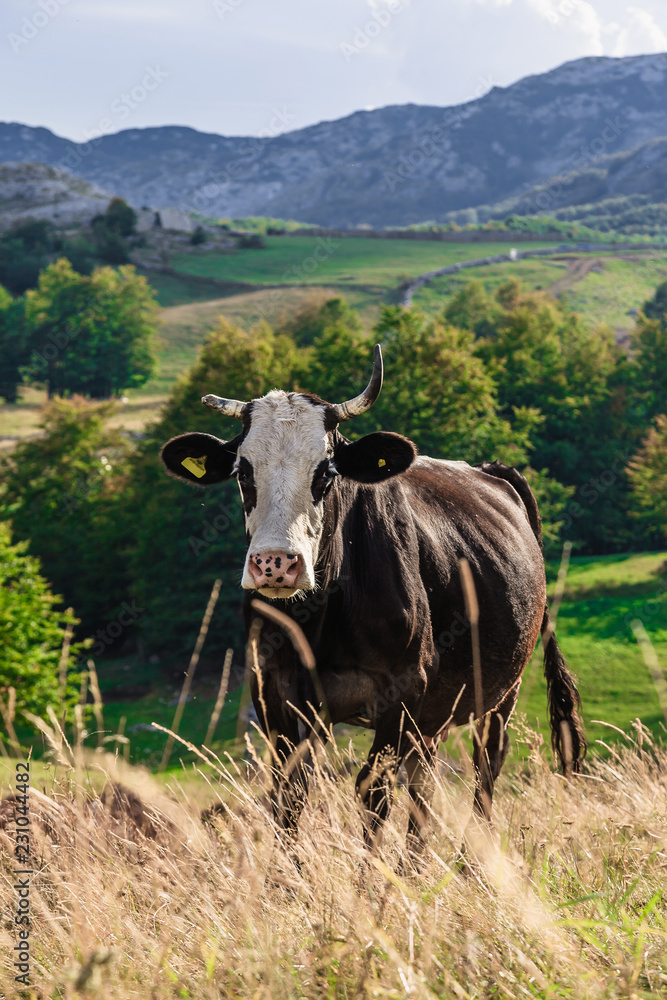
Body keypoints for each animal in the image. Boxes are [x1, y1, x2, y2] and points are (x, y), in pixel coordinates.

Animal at [160, 345, 586, 854]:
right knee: (425, 781)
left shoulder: (402, 688)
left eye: (325, 472)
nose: (275, 563)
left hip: (503, 690)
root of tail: (490, 471)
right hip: (437, 707)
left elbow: (373, 789)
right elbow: (290, 793)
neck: (320, 617)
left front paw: (373, 876)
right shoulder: (273, 691)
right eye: (243, 472)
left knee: (485, 768)